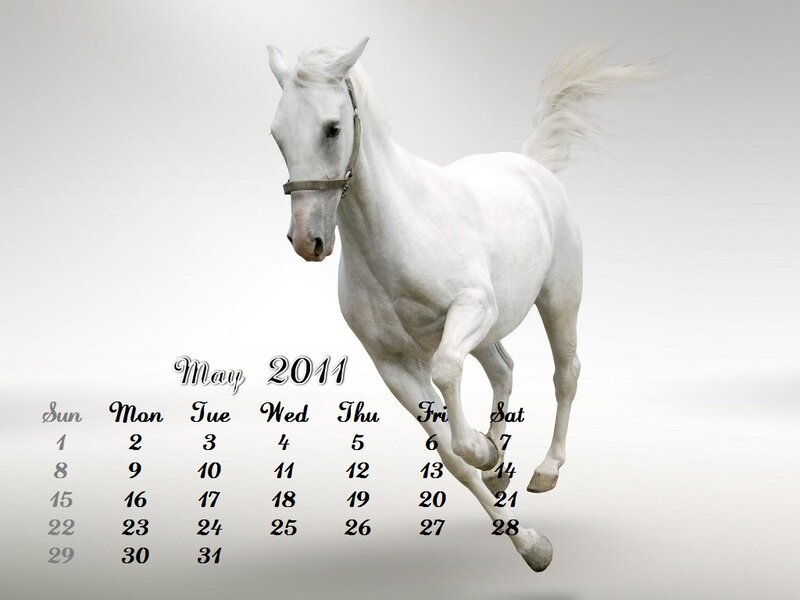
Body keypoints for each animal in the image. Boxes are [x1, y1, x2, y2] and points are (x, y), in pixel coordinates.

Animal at [267, 38, 657, 571]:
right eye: (277, 135)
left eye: (332, 128)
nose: (308, 241)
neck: (398, 231)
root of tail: (530, 164)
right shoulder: (393, 364)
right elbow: (451, 458)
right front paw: (527, 537)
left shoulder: (471, 309)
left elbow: (449, 373)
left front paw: (485, 456)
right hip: (492, 331)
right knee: (504, 369)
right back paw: (501, 463)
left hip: (558, 299)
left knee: (566, 373)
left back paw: (545, 470)